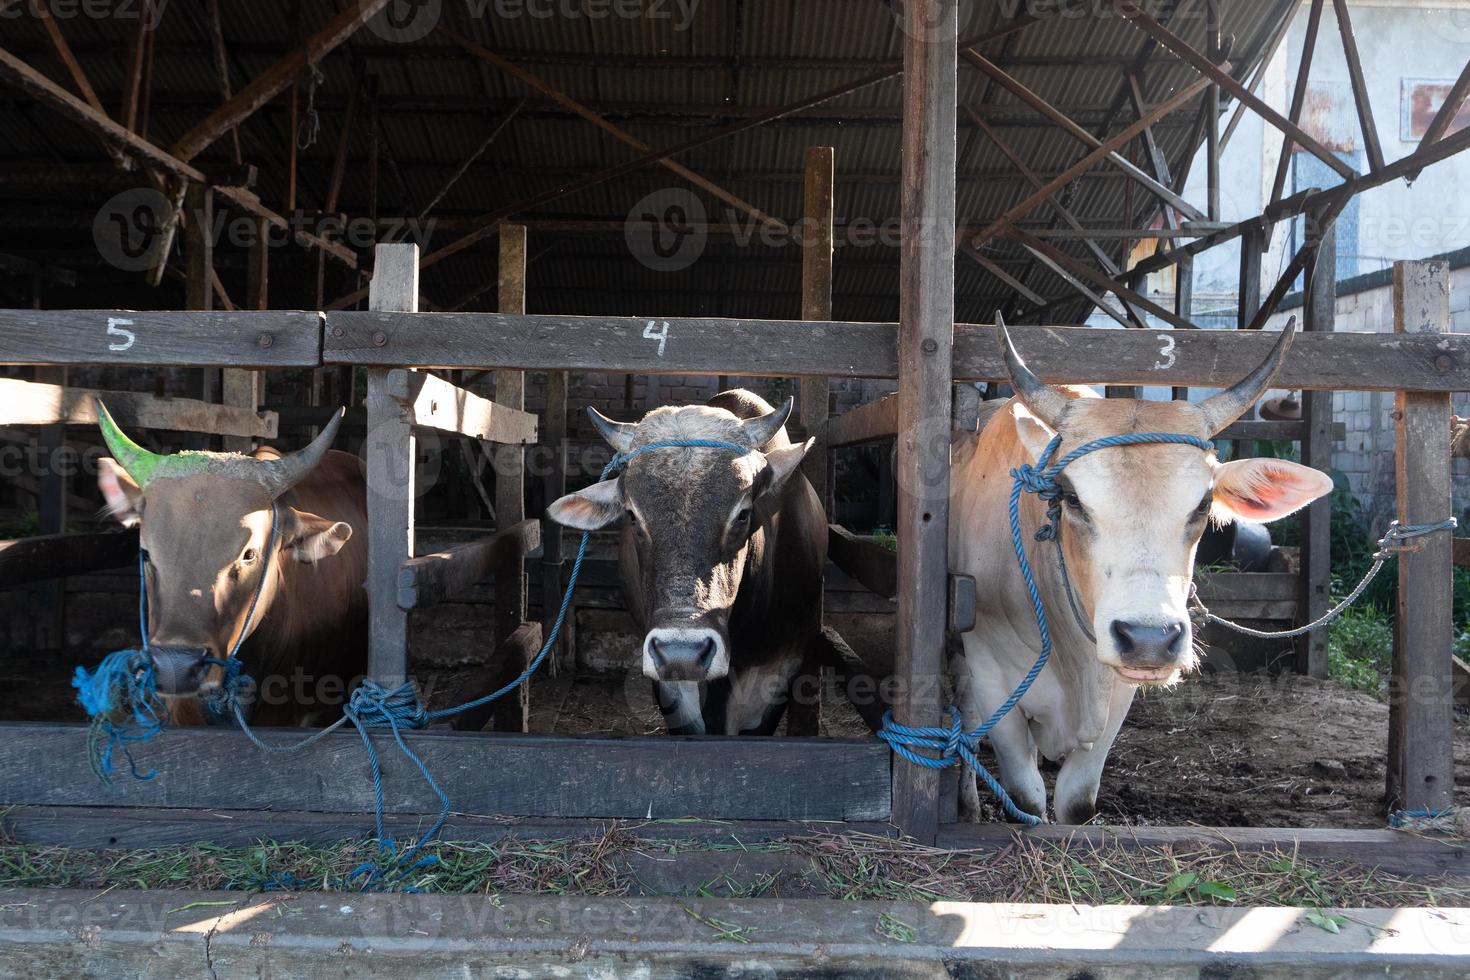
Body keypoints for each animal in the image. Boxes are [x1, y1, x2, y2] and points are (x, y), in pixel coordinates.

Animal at [952, 318, 1334, 822]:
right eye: (1070, 497)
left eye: (1204, 504)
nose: (1149, 639)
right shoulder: (995, 682)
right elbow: (1026, 797)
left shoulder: (1118, 696)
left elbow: (1076, 801)